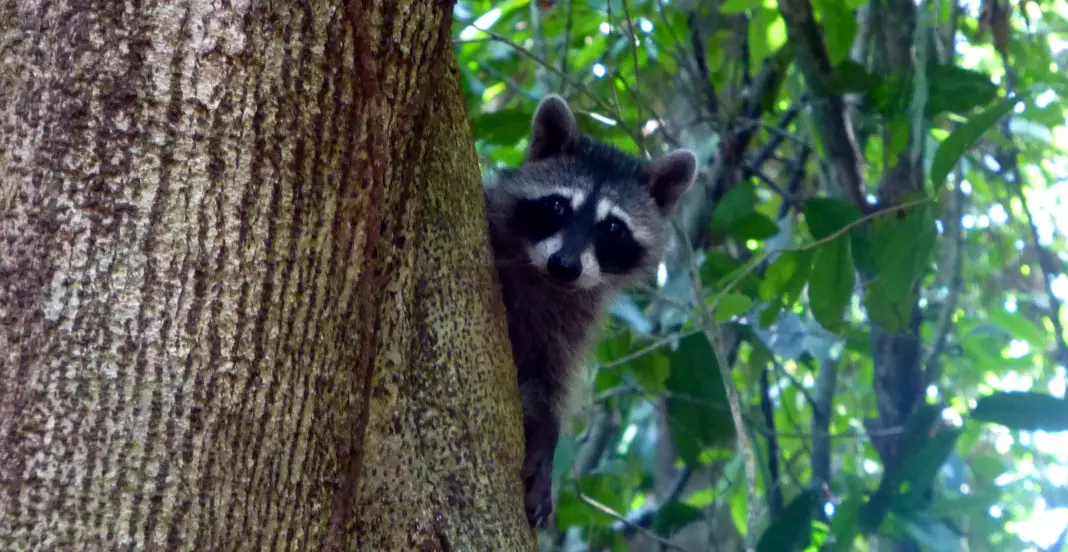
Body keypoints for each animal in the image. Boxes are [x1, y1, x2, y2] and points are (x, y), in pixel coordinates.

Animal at [487, 95, 700, 529]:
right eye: (556, 206)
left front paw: (545, 428)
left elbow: (545, 374)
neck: (543, 279)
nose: (565, 265)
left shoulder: (569, 316)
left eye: (613, 228)